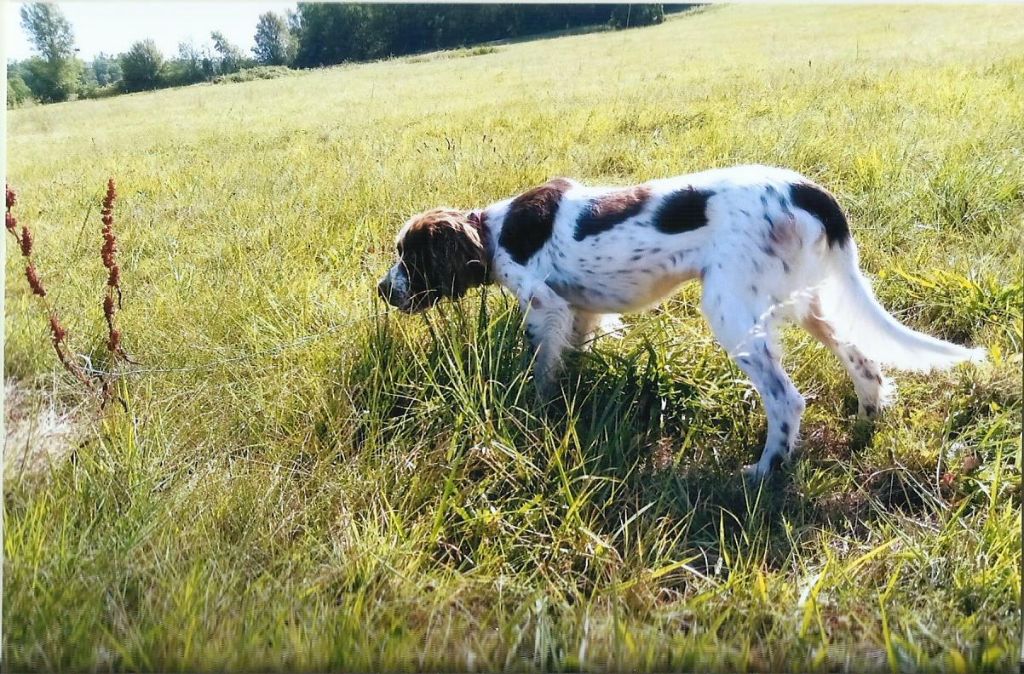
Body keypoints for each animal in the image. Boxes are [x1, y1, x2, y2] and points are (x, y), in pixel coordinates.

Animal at [376, 163, 983, 477]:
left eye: (409, 258)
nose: (383, 290)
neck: (494, 231)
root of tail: (806, 188)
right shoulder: (579, 311)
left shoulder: (545, 307)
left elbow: (540, 370)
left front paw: (532, 413)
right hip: (806, 302)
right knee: (863, 358)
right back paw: (867, 416)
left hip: (732, 311)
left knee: (786, 399)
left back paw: (765, 471)